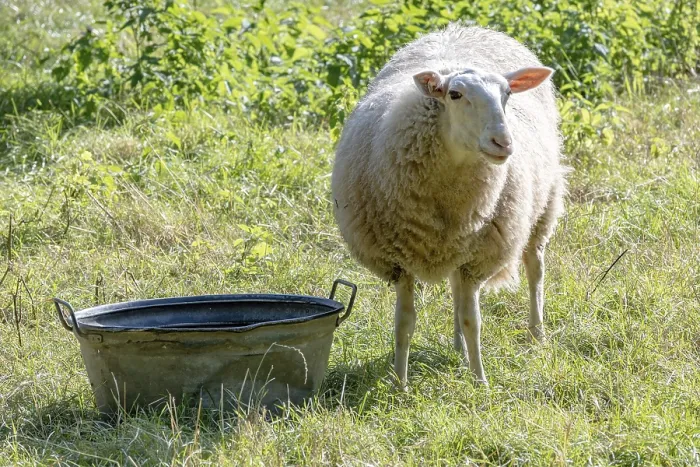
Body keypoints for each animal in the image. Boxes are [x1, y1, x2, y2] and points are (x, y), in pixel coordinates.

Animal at [331, 24, 567, 387]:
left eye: (507, 94)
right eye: (454, 94)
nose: (503, 143)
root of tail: (462, 28)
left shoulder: (478, 257)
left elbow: (474, 320)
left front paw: (480, 381)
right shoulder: (398, 262)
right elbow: (404, 322)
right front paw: (400, 383)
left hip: (543, 206)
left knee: (534, 268)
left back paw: (536, 334)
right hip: (460, 243)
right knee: (456, 290)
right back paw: (457, 348)